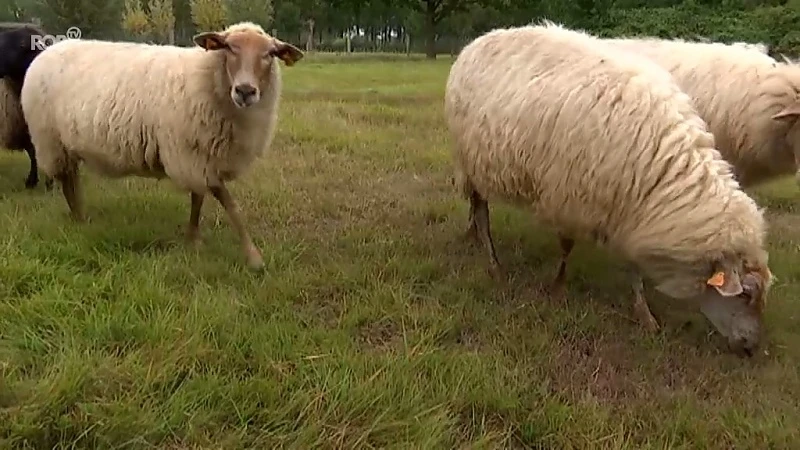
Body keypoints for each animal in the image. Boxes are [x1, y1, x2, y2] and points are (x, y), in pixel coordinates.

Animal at [21, 21, 304, 268]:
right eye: (229, 48)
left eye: (270, 54)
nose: (245, 91)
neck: (207, 77)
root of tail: (49, 50)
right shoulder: (189, 154)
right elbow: (231, 205)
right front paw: (253, 256)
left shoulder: (199, 155)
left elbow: (198, 198)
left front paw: (193, 239)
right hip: (50, 139)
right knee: (67, 181)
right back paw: (79, 219)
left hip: (66, 143)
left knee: (72, 180)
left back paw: (80, 216)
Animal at [446, 22, 772, 356]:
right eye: (745, 295)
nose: (751, 348)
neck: (662, 170)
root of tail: (480, 40)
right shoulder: (568, 196)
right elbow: (567, 246)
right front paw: (557, 286)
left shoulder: (629, 214)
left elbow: (634, 267)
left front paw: (644, 315)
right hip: (471, 162)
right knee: (481, 210)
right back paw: (493, 262)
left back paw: (472, 235)